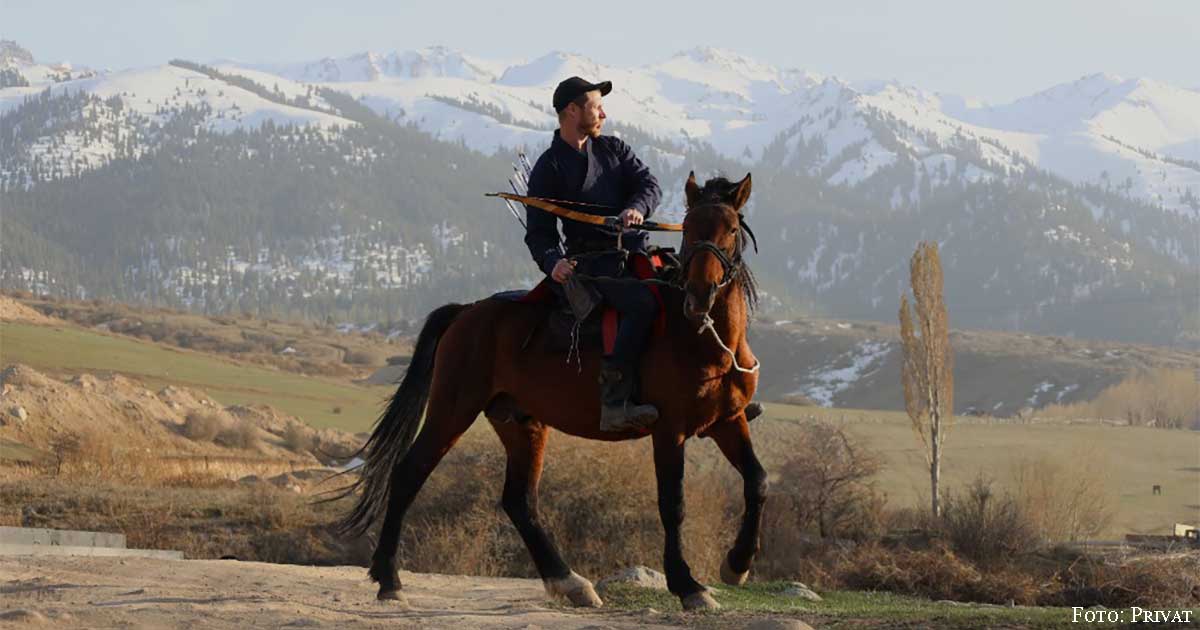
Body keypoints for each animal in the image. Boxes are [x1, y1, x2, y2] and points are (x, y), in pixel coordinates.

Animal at [335, 172, 766, 612]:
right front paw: (688, 585)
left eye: (731, 229)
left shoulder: (727, 421)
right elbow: (673, 503)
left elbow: (757, 481)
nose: (699, 294)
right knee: (409, 473)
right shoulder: (669, 431)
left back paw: (568, 581)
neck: (701, 340)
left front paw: (737, 564)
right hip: (452, 410)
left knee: (519, 501)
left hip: (520, 422)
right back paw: (388, 579)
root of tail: (465, 313)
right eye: (689, 228)